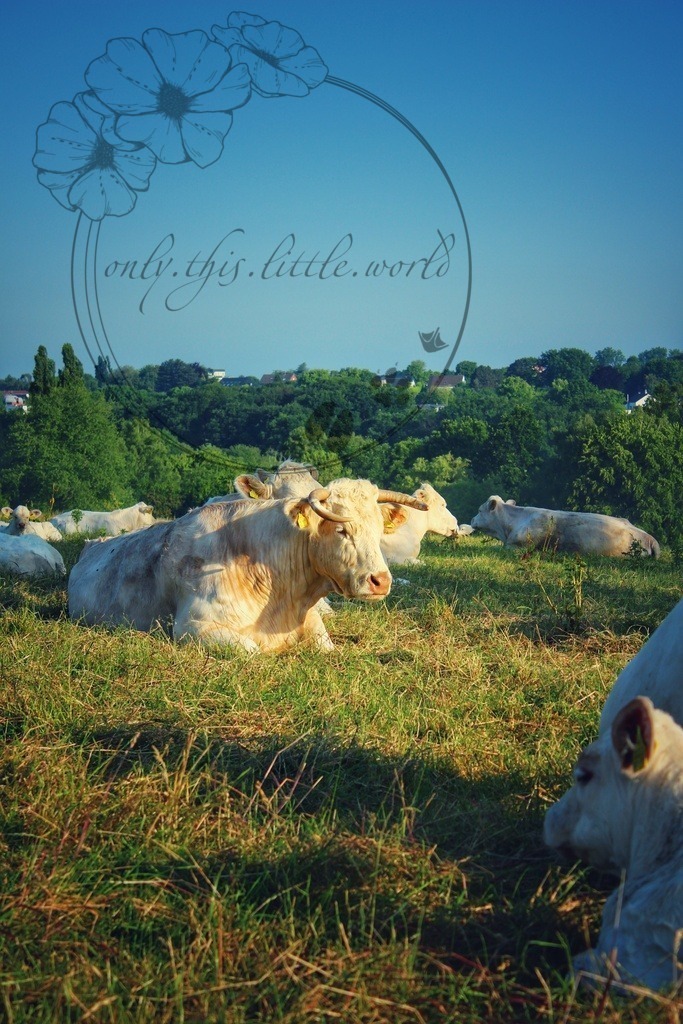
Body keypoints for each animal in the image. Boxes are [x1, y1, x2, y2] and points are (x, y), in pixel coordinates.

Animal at [68, 479, 426, 653]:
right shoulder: (193, 627)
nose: (380, 581)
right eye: (341, 530)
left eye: (379, 531)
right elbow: (253, 650)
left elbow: (329, 649)